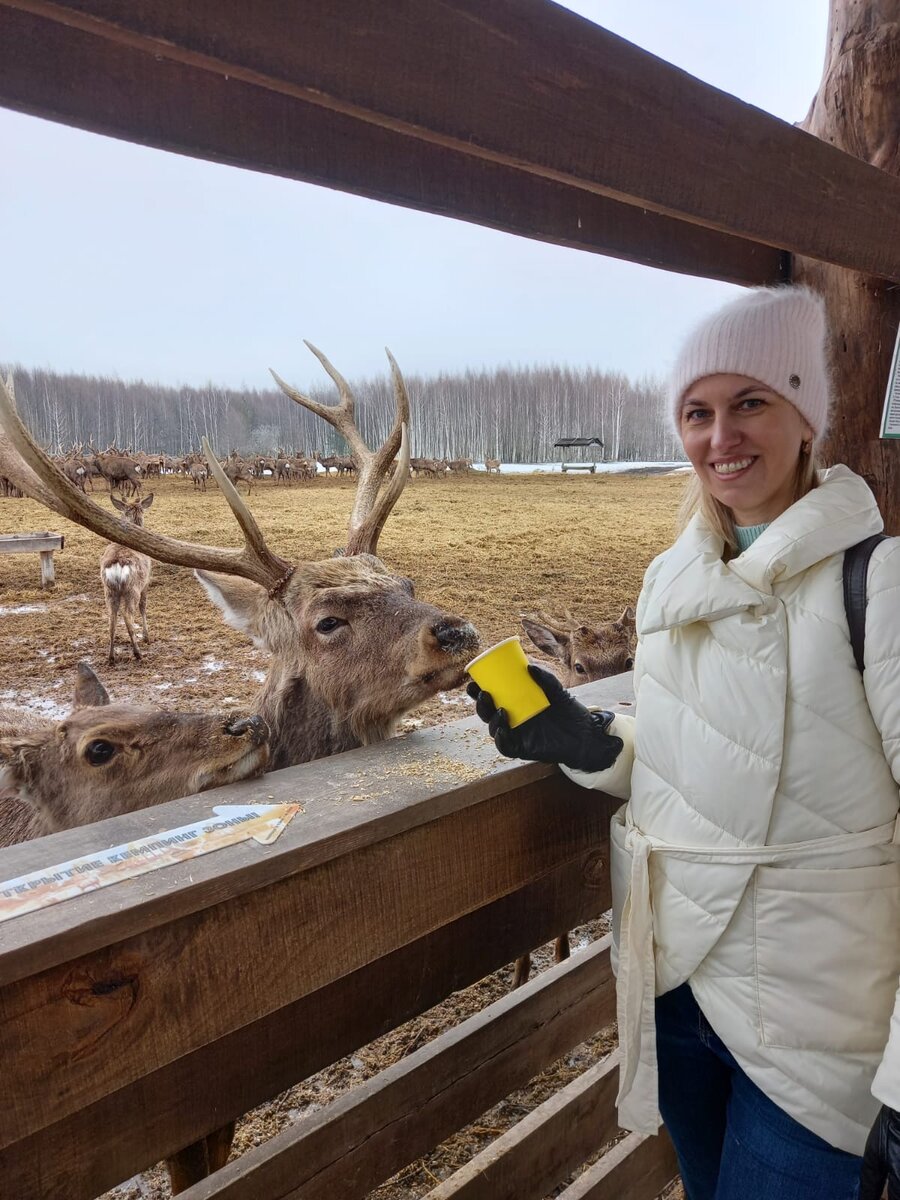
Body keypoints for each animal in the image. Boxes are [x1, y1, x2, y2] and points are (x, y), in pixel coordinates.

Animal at [101, 494, 154, 672]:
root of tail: (117, 565)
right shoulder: (146, 581)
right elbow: (144, 606)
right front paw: (146, 637)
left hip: (109, 590)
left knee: (111, 618)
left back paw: (111, 657)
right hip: (132, 589)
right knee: (127, 614)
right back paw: (138, 653)